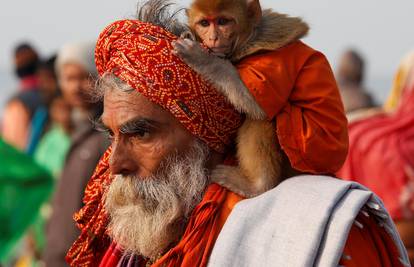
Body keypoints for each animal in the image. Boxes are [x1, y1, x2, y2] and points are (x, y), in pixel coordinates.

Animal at [171, 0, 350, 197]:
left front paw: (202, 59)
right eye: (204, 23)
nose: (213, 38)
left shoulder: (276, 60)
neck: (249, 39)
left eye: (223, 21)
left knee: (265, 119)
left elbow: (255, 105)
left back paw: (256, 185)